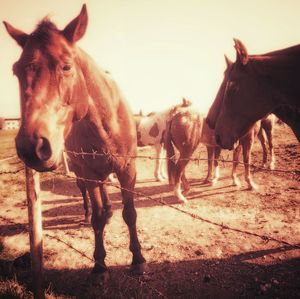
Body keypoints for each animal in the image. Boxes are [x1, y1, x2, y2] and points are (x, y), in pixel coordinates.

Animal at [3, 4, 146, 282]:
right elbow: (97, 220)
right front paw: (99, 265)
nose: (32, 147)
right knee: (92, 200)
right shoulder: (89, 174)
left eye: (67, 67)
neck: (105, 122)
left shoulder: (128, 170)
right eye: (16, 70)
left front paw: (138, 259)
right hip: (83, 173)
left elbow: (130, 213)